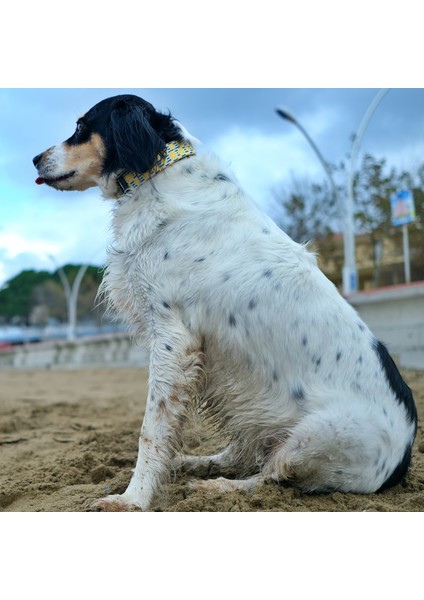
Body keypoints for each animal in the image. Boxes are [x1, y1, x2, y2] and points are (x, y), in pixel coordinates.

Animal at [33, 94, 418, 510]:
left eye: (80, 127)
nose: (35, 158)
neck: (157, 171)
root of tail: (402, 461)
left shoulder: (174, 340)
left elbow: (150, 429)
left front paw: (133, 499)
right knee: (244, 455)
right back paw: (194, 464)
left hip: (315, 435)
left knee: (270, 478)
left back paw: (217, 487)